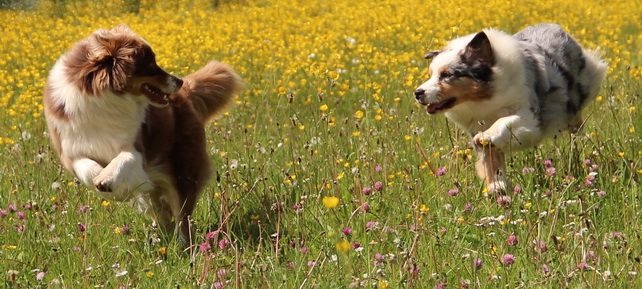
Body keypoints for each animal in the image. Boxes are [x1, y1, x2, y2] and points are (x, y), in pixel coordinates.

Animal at [43, 25, 240, 243]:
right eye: (151, 64)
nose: (179, 81)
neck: (105, 97)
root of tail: (186, 94)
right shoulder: (70, 148)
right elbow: (85, 167)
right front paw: (104, 183)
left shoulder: (137, 147)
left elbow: (124, 159)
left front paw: (106, 179)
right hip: (152, 191)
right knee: (161, 211)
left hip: (183, 167)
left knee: (182, 213)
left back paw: (183, 244)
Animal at [412, 24, 604, 191]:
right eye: (431, 75)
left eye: (447, 74)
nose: (418, 93)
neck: (485, 98)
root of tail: (554, 26)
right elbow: (490, 159)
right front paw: (497, 186)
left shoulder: (529, 116)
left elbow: (504, 121)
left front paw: (488, 134)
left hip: (572, 109)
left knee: (576, 130)